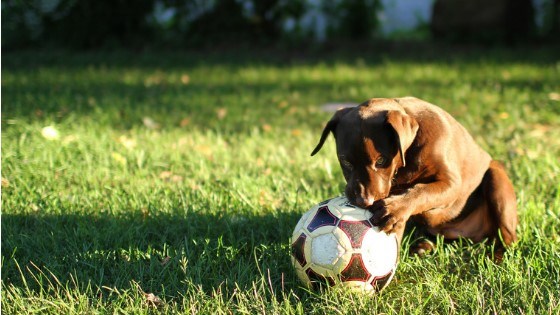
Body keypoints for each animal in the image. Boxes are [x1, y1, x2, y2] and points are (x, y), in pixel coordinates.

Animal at [310, 96, 516, 254]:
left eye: (381, 161)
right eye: (345, 162)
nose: (364, 202)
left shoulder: (451, 184)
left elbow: (423, 192)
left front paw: (395, 208)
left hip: (497, 181)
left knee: (509, 239)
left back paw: (497, 257)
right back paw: (425, 246)